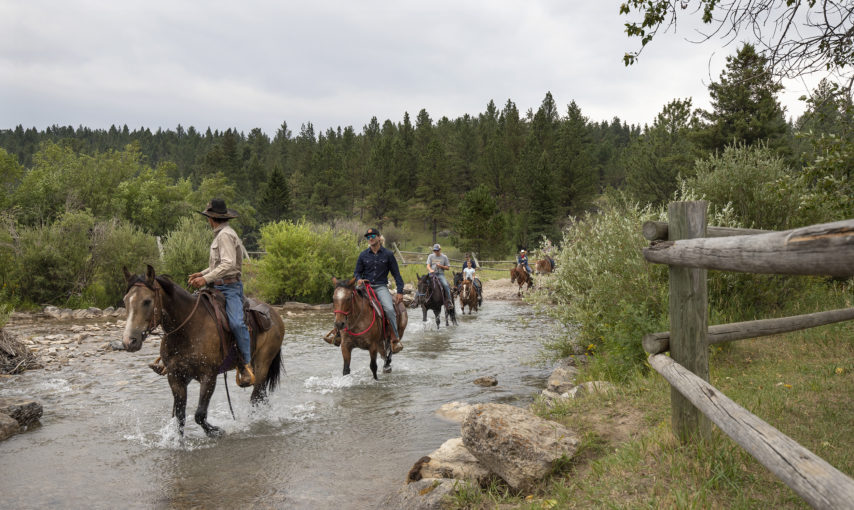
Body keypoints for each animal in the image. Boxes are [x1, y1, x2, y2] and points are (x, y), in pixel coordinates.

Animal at [122, 264, 286, 436]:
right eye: (125, 301)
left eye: (147, 301)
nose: (129, 341)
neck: (188, 328)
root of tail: (274, 313)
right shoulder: (175, 376)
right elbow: (180, 417)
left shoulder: (208, 376)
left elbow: (199, 415)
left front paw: (216, 431)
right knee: (261, 396)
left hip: (262, 365)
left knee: (256, 396)